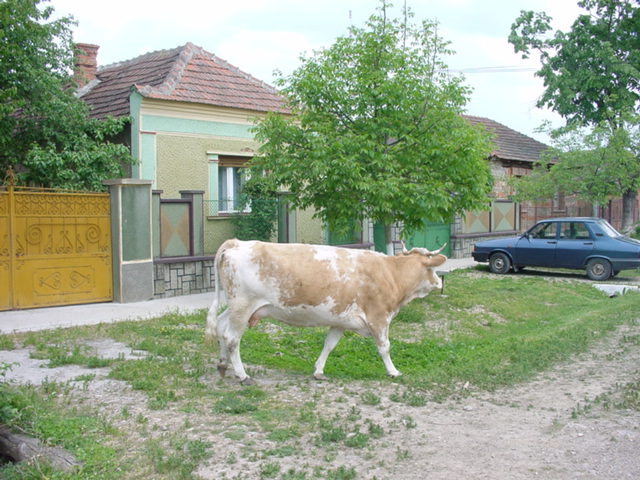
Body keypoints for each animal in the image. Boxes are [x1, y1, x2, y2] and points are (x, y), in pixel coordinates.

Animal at [205, 240, 444, 386]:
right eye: (432, 269)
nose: (440, 282)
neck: (391, 273)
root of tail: (237, 242)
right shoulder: (379, 317)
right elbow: (384, 347)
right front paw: (393, 371)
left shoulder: (340, 320)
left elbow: (329, 345)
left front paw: (318, 371)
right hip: (242, 305)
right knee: (232, 338)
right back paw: (242, 375)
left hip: (236, 306)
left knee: (220, 327)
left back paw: (223, 364)